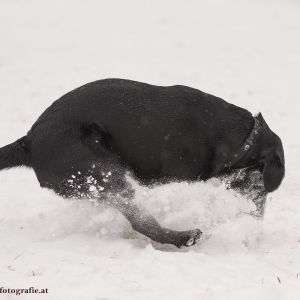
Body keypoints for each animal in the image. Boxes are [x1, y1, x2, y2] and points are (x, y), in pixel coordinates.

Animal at [0, 78, 284, 247]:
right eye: (260, 189)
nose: (256, 223)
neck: (236, 137)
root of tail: (28, 142)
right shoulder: (176, 176)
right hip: (101, 169)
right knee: (140, 221)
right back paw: (184, 237)